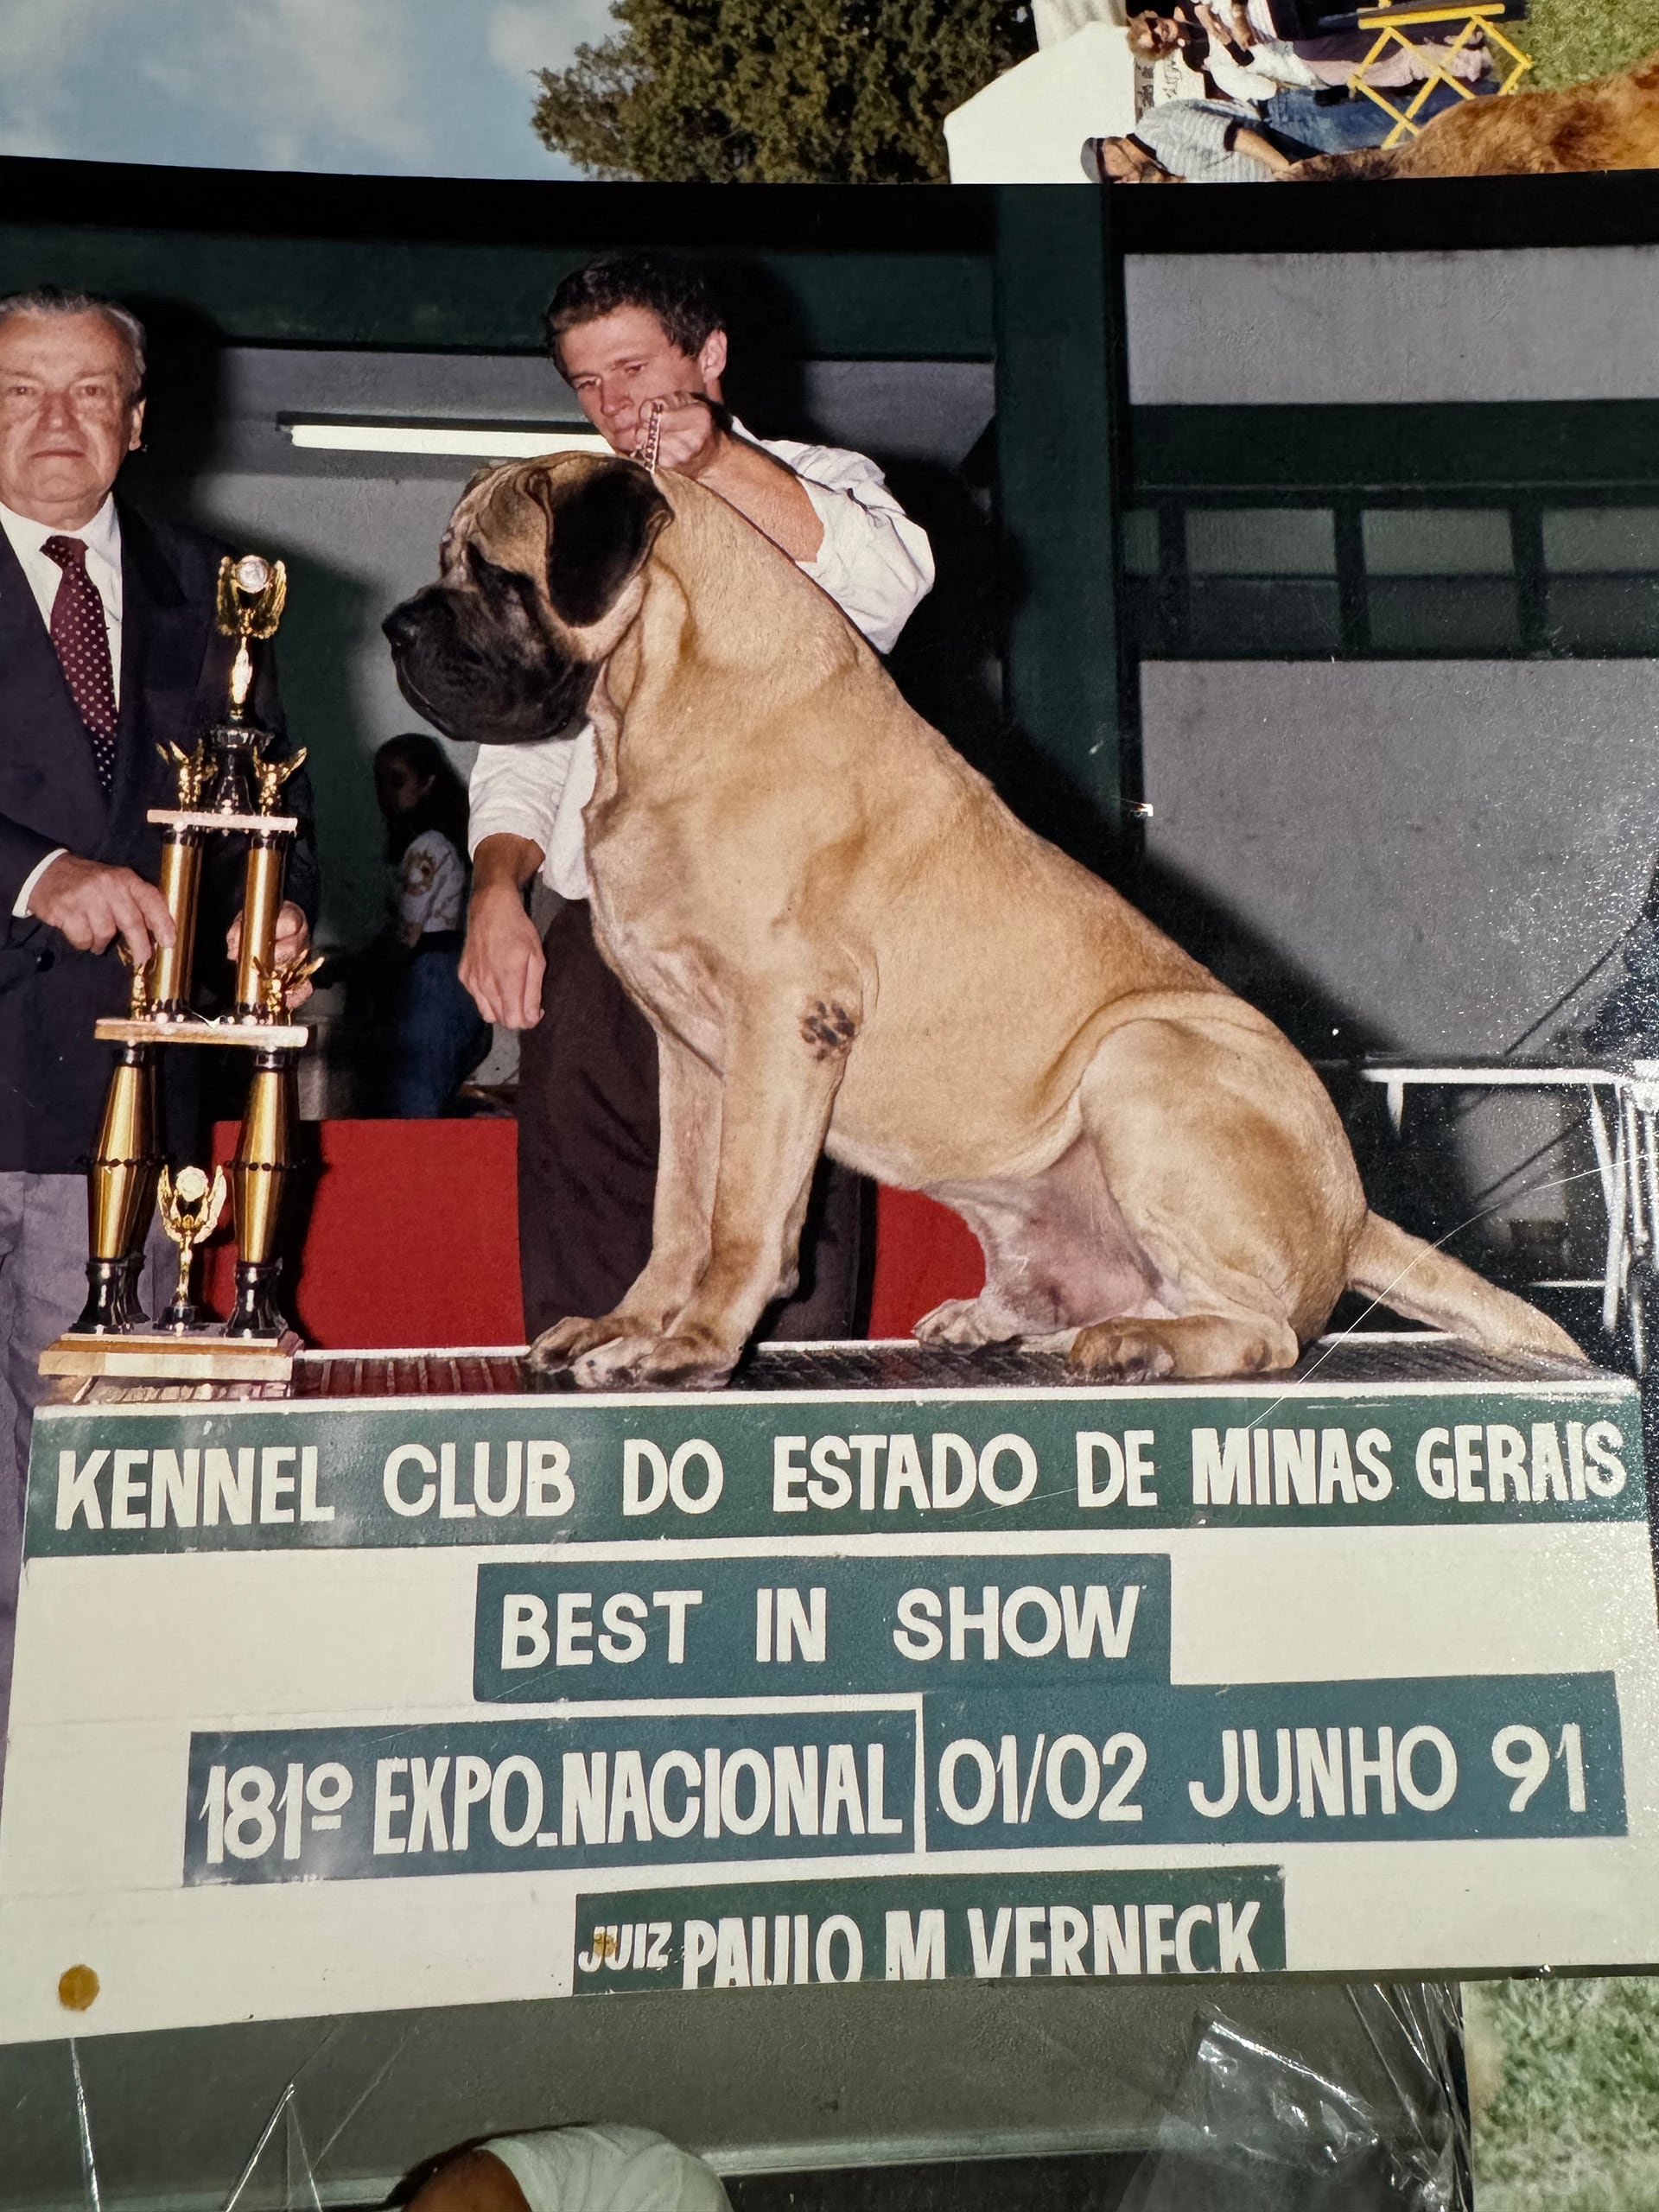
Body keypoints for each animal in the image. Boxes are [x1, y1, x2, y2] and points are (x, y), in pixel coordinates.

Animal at [387, 457, 1583, 1389]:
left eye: (493, 573)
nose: (398, 627)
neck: (659, 699)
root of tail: (1354, 1209)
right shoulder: (689, 1056)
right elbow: (678, 1214)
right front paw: (631, 1324)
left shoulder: (785, 1020)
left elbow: (740, 1217)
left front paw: (692, 1346)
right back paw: (1021, 1320)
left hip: (1146, 1055)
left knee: (1271, 1333)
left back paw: (1141, 1345)